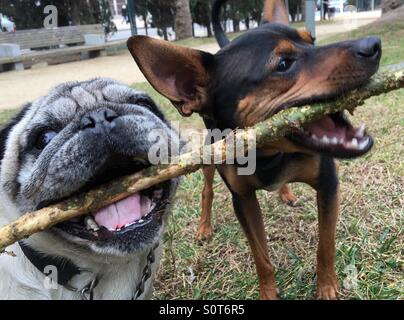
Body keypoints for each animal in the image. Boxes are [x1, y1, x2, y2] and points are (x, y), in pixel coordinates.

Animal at [127, 0, 382, 300]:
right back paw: (204, 226)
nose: (374, 44)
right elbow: (262, 258)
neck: (267, 155)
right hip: (209, 156)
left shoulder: (328, 184)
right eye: (283, 64)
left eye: (313, 40)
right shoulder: (243, 200)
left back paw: (286, 192)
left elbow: (326, 244)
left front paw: (327, 287)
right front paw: (269, 294)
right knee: (207, 191)